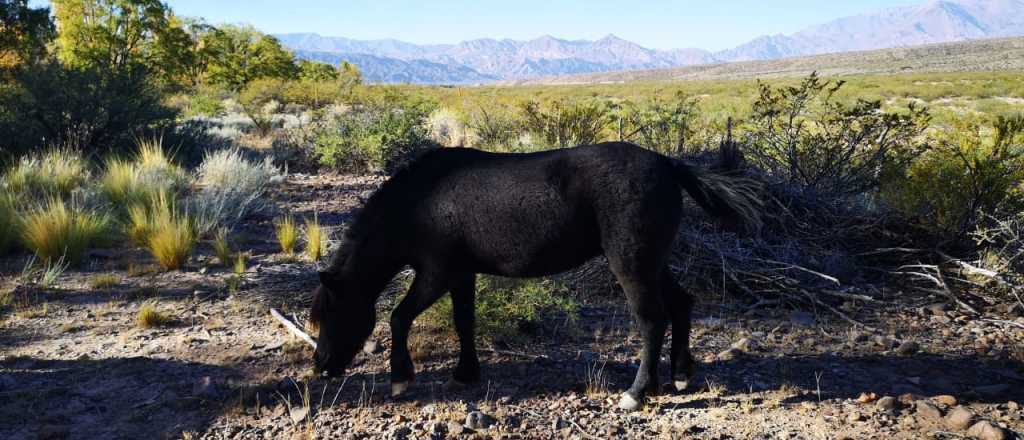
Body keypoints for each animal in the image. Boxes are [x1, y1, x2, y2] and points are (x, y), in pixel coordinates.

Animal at [309, 142, 761, 411]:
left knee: (652, 320)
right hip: (653, 261)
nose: (321, 366)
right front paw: (465, 372)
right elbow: (464, 322)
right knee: (681, 304)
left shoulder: (436, 273)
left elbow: (399, 318)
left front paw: (401, 378)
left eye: (331, 314)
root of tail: (668, 164)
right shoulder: (461, 274)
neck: (421, 202)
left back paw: (636, 393)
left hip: (631, 263)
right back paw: (681, 375)